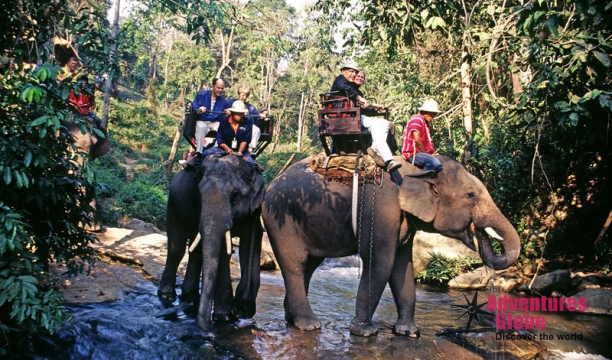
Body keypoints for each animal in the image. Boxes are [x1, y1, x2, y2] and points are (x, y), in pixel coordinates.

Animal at [158, 153, 266, 334]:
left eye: (235, 195)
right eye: (199, 193)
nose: (209, 328)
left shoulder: (255, 215)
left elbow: (249, 247)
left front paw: (241, 312)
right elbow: (223, 252)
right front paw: (224, 317)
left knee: (195, 251)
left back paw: (190, 298)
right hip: (173, 205)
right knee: (177, 247)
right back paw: (167, 295)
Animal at [260, 155, 520, 338]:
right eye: (470, 195)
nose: (478, 232)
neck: (415, 170)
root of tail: (269, 185)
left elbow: (402, 267)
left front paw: (408, 332)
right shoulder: (382, 211)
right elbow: (381, 263)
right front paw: (364, 332)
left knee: (309, 265)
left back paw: (292, 319)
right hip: (281, 219)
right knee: (295, 264)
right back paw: (309, 325)